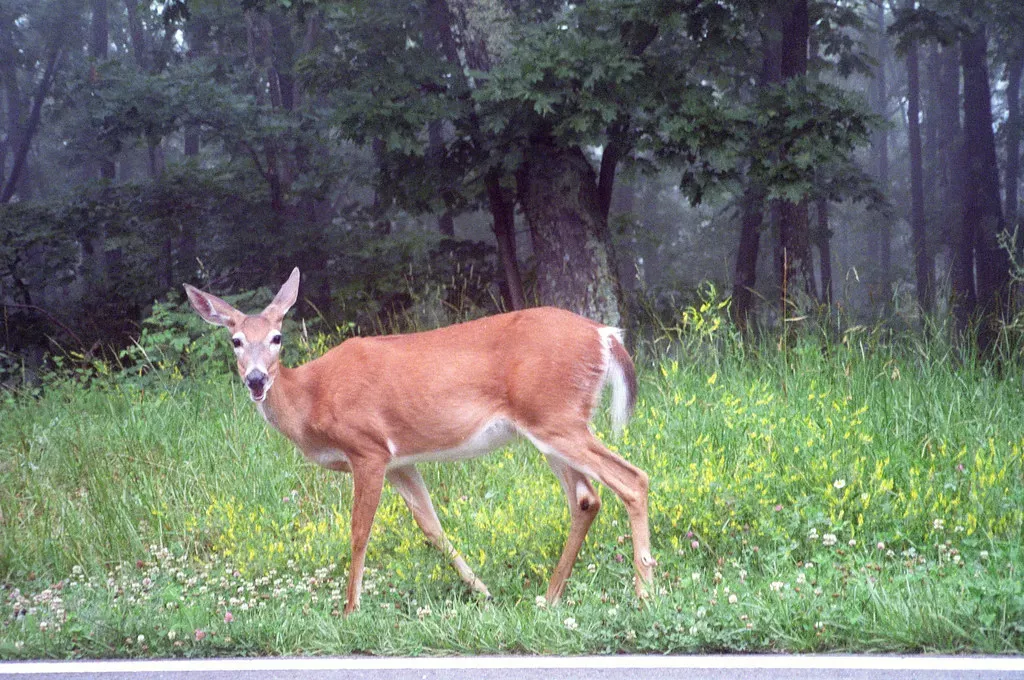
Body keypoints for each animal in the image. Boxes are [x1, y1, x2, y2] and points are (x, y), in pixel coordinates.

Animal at [184, 268, 654, 614]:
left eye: (277, 338)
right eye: (235, 340)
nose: (256, 379)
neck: (309, 399)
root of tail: (605, 335)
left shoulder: (367, 448)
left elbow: (359, 532)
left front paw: (349, 610)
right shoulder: (400, 462)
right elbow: (432, 527)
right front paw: (482, 591)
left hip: (557, 418)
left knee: (632, 479)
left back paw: (645, 591)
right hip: (549, 426)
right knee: (586, 499)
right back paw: (551, 597)